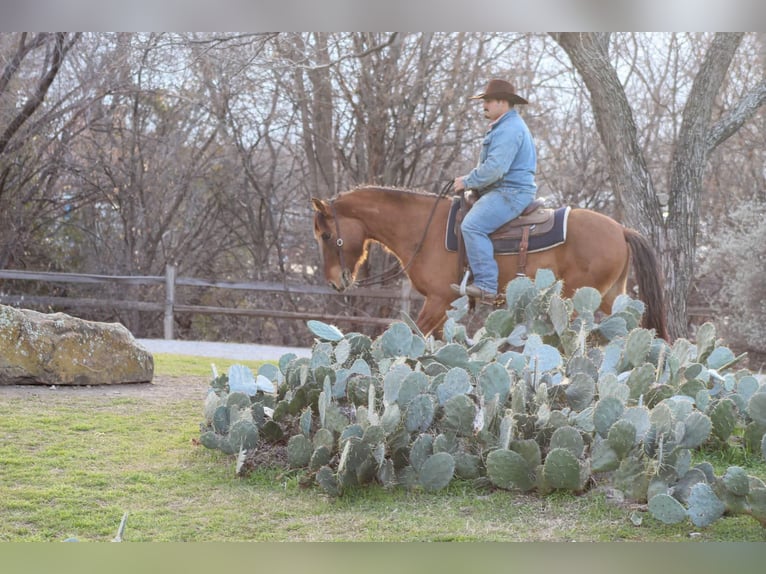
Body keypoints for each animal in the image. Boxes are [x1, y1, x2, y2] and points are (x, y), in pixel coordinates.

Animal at [308, 188, 668, 342]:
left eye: (326, 235)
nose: (335, 281)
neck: (423, 228)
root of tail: (621, 229)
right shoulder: (445, 306)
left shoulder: (438, 300)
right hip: (609, 297)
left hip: (579, 299)